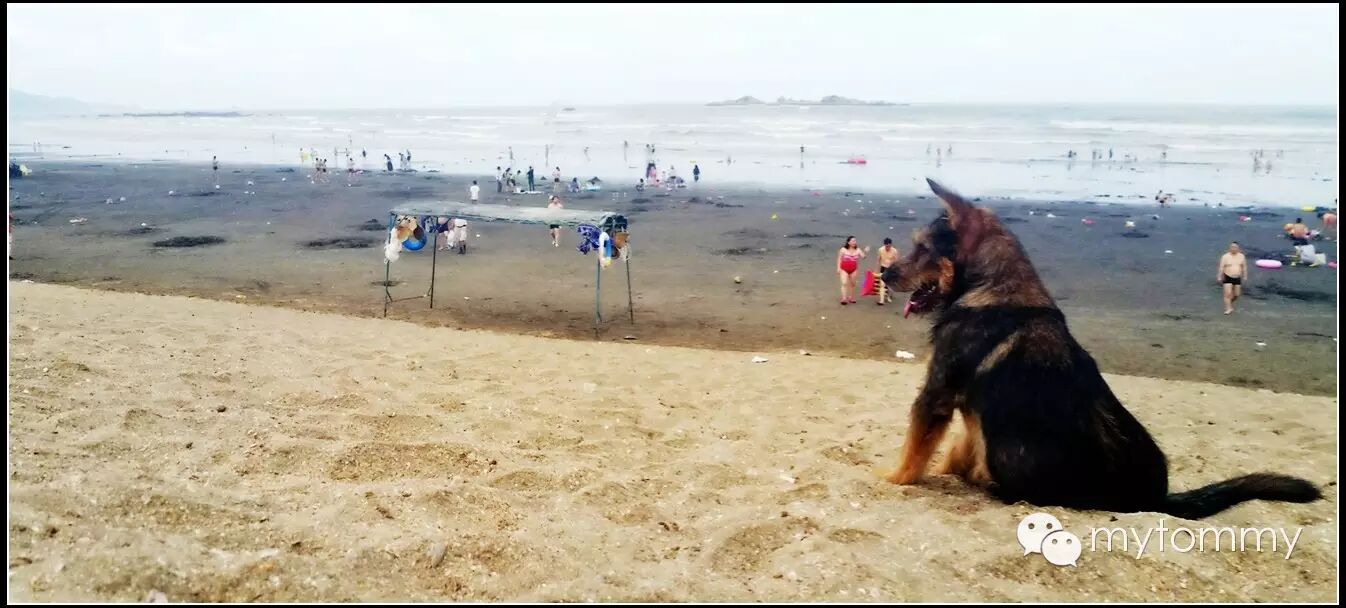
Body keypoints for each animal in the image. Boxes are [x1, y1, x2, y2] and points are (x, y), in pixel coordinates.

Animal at [878, 179, 1321, 518]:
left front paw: (891, 480)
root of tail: (1155, 498)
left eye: (923, 249)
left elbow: (913, 453)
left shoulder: (936, 395)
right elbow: (958, 449)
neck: (992, 286)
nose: (884, 273)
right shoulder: (971, 414)